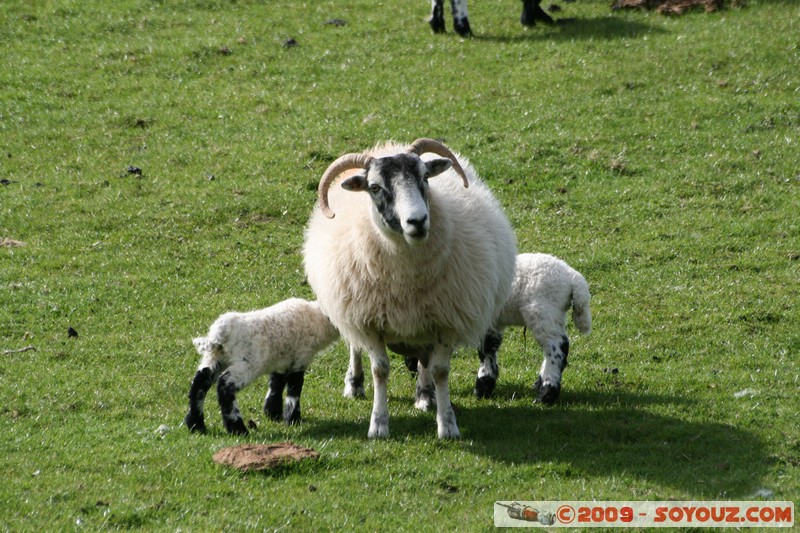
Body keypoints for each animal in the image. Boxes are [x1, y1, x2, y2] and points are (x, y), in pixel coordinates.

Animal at [184, 298, 338, 434]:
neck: (318, 317)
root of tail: (220, 333)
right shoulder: (300, 358)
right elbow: (294, 391)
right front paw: (293, 419)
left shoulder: (281, 359)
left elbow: (276, 383)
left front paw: (272, 413)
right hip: (246, 363)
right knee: (224, 386)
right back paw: (238, 429)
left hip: (215, 358)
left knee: (199, 383)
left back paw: (196, 425)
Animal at [304, 139, 516, 438]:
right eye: (375, 187)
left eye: (425, 177)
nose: (417, 221)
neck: (407, 279)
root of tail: (388, 145)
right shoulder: (368, 321)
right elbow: (380, 370)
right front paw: (378, 424)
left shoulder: (446, 321)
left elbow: (440, 370)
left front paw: (447, 423)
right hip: (347, 301)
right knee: (355, 345)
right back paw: (354, 383)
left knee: (424, 360)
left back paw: (425, 394)